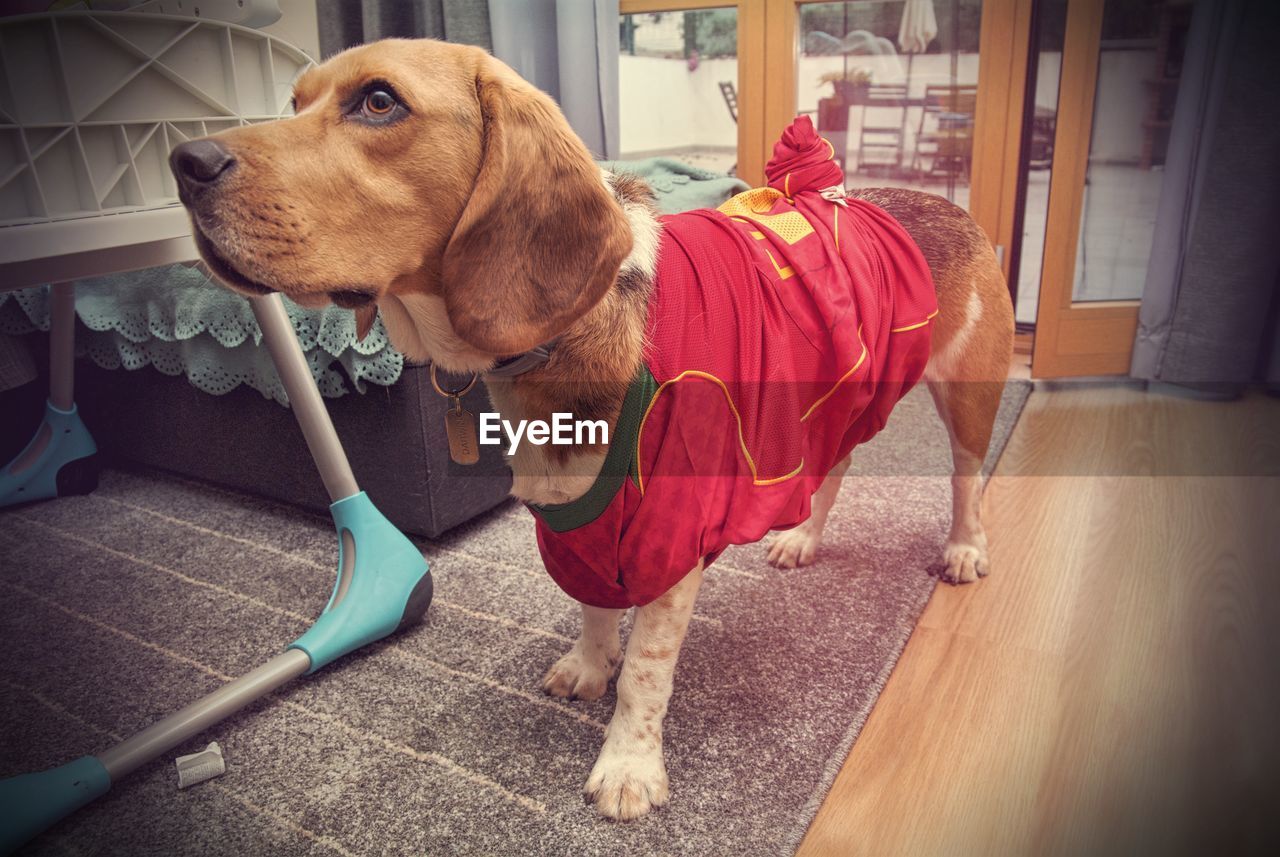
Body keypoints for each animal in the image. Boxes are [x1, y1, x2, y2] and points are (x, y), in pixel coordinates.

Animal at [170, 36, 1013, 823]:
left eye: (379, 102)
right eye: (295, 99)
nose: (185, 161)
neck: (554, 343)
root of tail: (938, 200)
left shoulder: (672, 534)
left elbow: (646, 667)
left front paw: (629, 763)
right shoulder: (566, 512)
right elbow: (593, 602)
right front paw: (590, 662)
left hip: (968, 401)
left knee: (966, 480)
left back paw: (964, 548)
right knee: (831, 467)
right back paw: (802, 536)